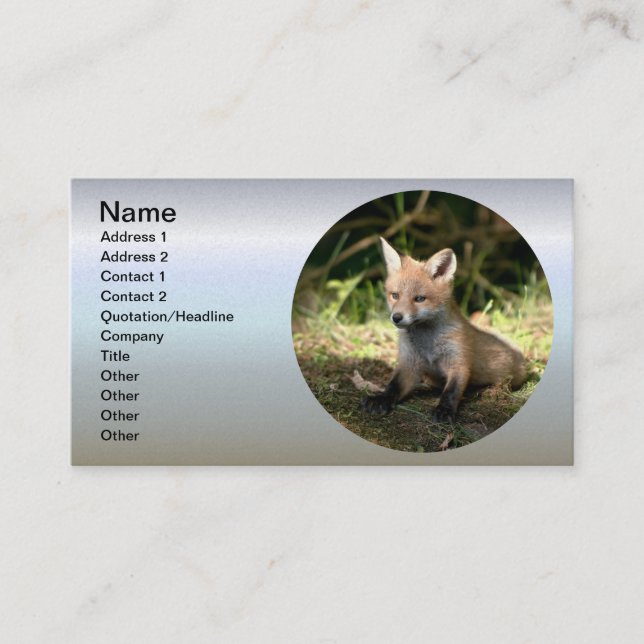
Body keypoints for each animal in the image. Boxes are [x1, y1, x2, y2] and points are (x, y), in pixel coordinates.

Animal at [361, 237, 527, 423]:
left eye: (419, 299)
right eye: (395, 295)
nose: (396, 317)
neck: (428, 343)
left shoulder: (458, 362)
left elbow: (451, 391)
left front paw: (444, 410)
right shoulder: (409, 363)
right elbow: (393, 386)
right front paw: (381, 399)